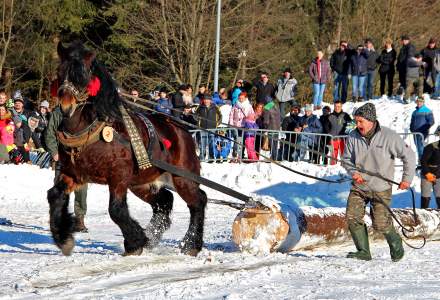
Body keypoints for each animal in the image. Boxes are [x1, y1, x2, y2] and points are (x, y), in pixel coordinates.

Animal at [49, 41, 207, 256]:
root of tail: (182, 129)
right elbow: (54, 195)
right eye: (59, 72)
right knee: (165, 201)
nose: (66, 107)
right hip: (141, 183)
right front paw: (63, 238)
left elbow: (116, 209)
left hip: (183, 178)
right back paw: (152, 237)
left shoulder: (119, 176)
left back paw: (191, 244)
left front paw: (135, 243)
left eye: (82, 75)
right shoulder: (73, 174)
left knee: (198, 201)